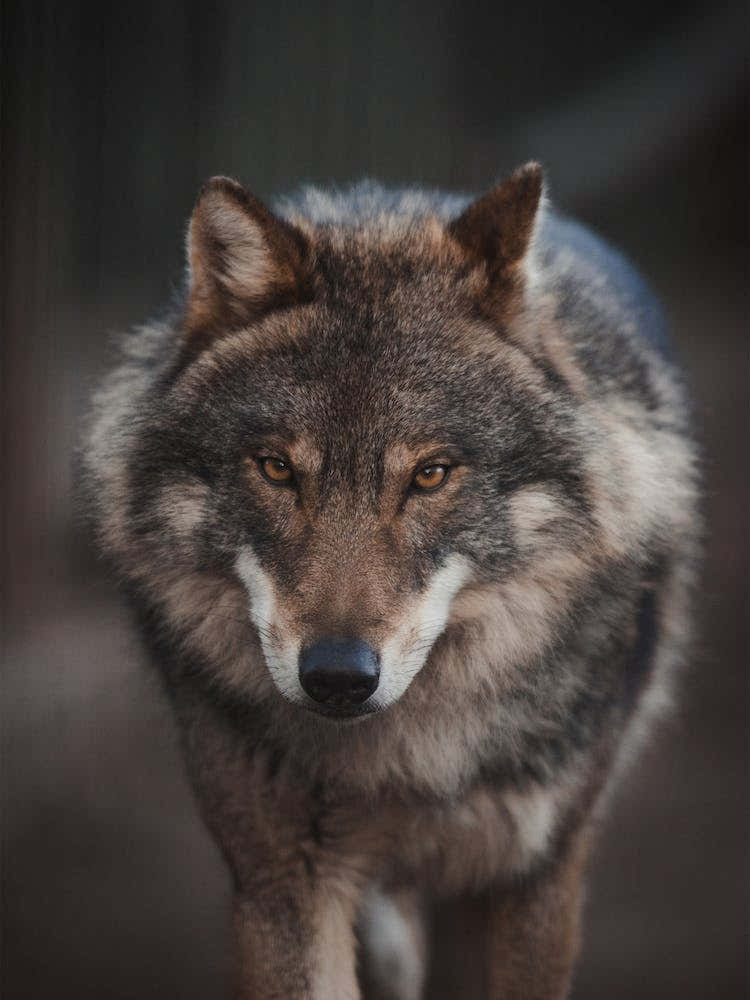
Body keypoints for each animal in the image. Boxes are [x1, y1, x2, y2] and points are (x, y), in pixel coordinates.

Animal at [82, 162, 698, 999]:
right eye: (276, 468)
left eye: (431, 474)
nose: (338, 677)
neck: (410, 762)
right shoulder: (282, 881)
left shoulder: (534, 874)